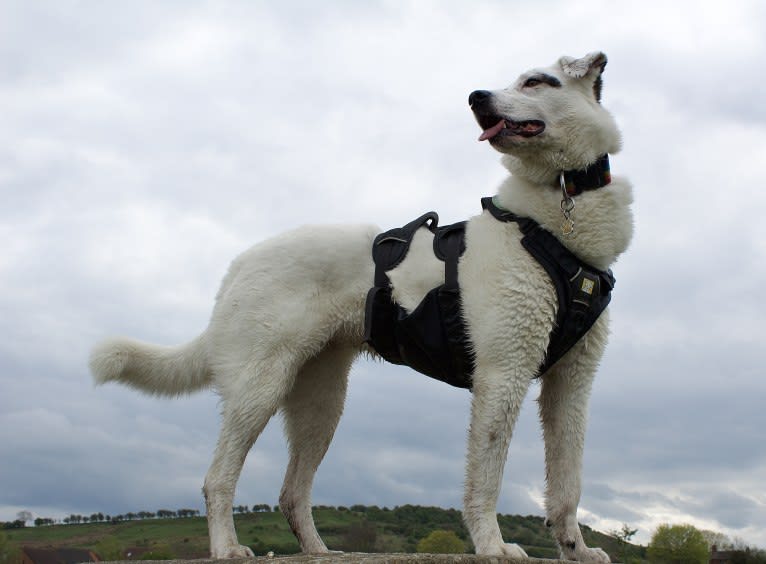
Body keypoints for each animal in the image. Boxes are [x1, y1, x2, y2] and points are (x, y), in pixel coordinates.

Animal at [90, 51, 632, 560]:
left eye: (537, 81)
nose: (475, 98)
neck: (552, 218)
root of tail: (238, 267)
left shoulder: (570, 387)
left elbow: (567, 484)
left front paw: (576, 550)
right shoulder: (503, 373)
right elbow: (487, 476)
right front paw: (492, 545)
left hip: (321, 404)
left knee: (291, 492)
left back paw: (318, 551)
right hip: (258, 389)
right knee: (217, 478)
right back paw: (226, 547)